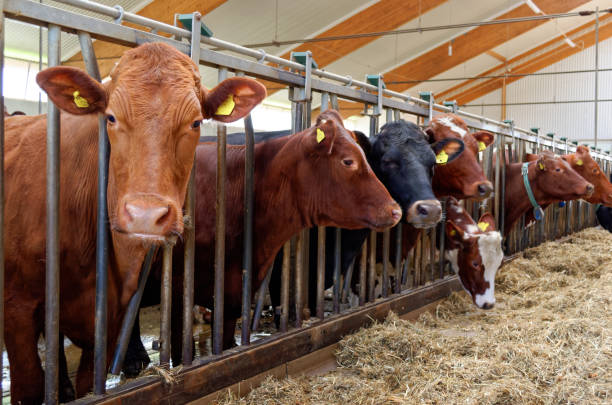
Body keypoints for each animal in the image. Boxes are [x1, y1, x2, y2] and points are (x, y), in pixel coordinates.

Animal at [4, 42, 266, 402]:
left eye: (196, 122)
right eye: (111, 117)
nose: (145, 215)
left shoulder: (108, 323)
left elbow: (90, 384)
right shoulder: (17, 309)